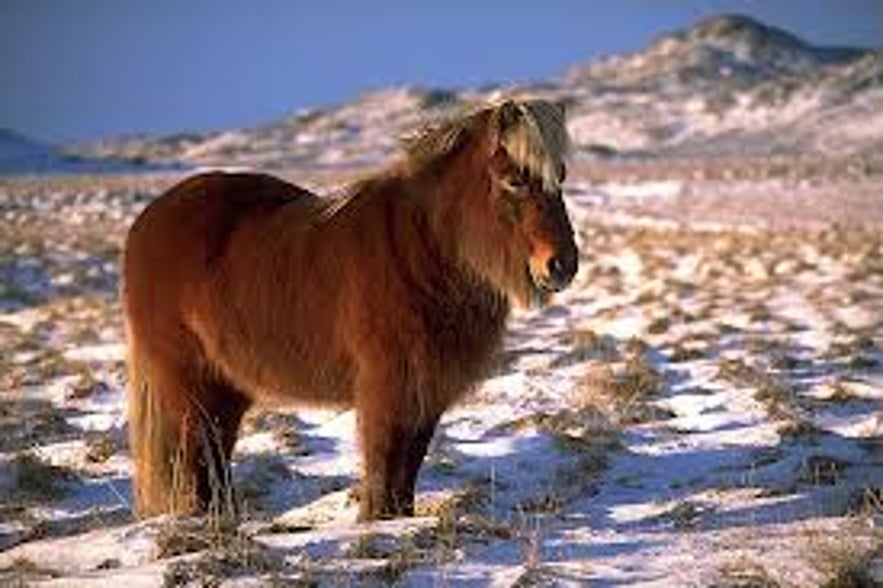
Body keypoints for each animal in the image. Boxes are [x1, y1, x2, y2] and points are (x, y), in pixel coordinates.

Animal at [124, 99, 580, 520]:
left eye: (560, 177)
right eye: (514, 181)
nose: (563, 265)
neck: (424, 250)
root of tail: (148, 219)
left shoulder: (426, 390)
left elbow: (408, 467)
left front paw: (398, 521)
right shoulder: (387, 386)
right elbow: (383, 461)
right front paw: (375, 522)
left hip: (226, 385)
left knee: (214, 454)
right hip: (188, 382)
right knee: (193, 455)